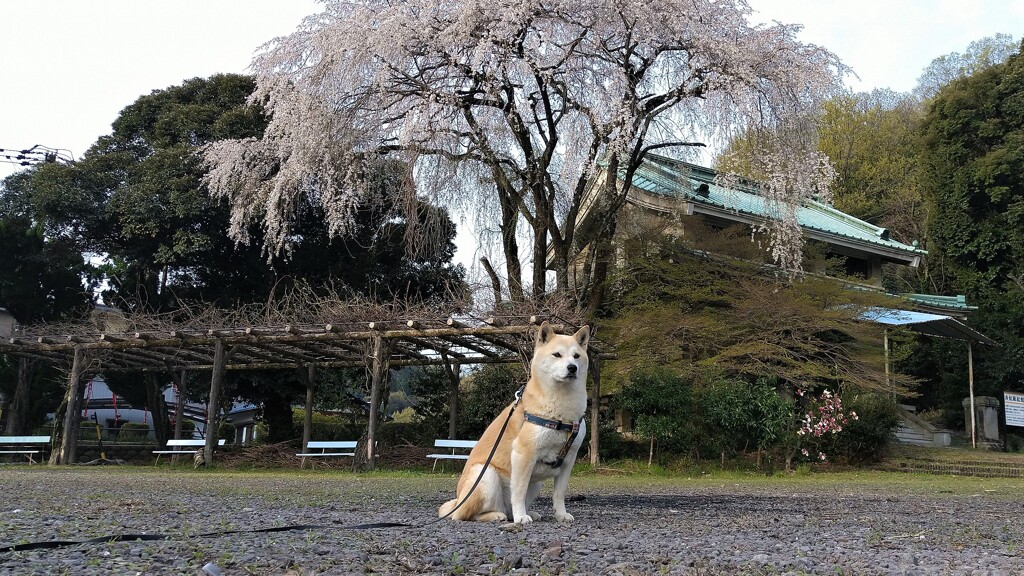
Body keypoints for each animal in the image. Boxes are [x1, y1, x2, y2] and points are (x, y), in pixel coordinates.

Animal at [436, 319, 589, 522]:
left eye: (576, 356)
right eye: (557, 354)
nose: (572, 367)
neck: (562, 410)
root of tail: (458, 500)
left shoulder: (569, 459)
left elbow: (559, 493)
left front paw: (561, 515)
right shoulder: (524, 453)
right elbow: (519, 492)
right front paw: (521, 517)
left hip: (535, 484)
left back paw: (526, 512)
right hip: (486, 475)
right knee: (464, 514)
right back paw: (497, 515)